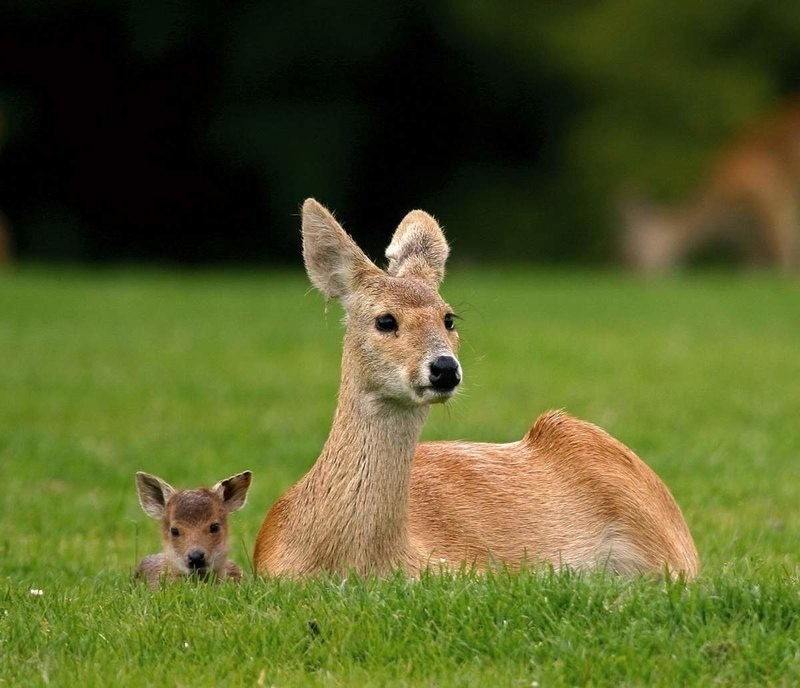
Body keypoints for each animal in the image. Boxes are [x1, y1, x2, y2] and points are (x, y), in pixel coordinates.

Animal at [620, 99, 800, 272]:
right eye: (628, 253)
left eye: (634, 251)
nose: (630, 270)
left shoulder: (772, 197)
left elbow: (784, 244)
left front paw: (785, 274)